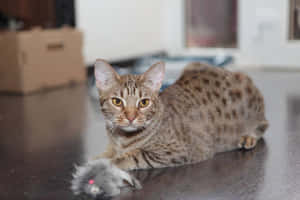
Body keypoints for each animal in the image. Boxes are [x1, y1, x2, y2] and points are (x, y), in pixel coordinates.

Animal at [71, 59, 270, 197]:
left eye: (144, 102)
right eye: (117, 102)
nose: (131, 117)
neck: (122, 138)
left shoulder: (180, 150)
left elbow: (134, 155)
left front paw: (108, 164)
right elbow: (106, 153)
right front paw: (95, 159)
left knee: (264, 125)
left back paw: (248, 137)